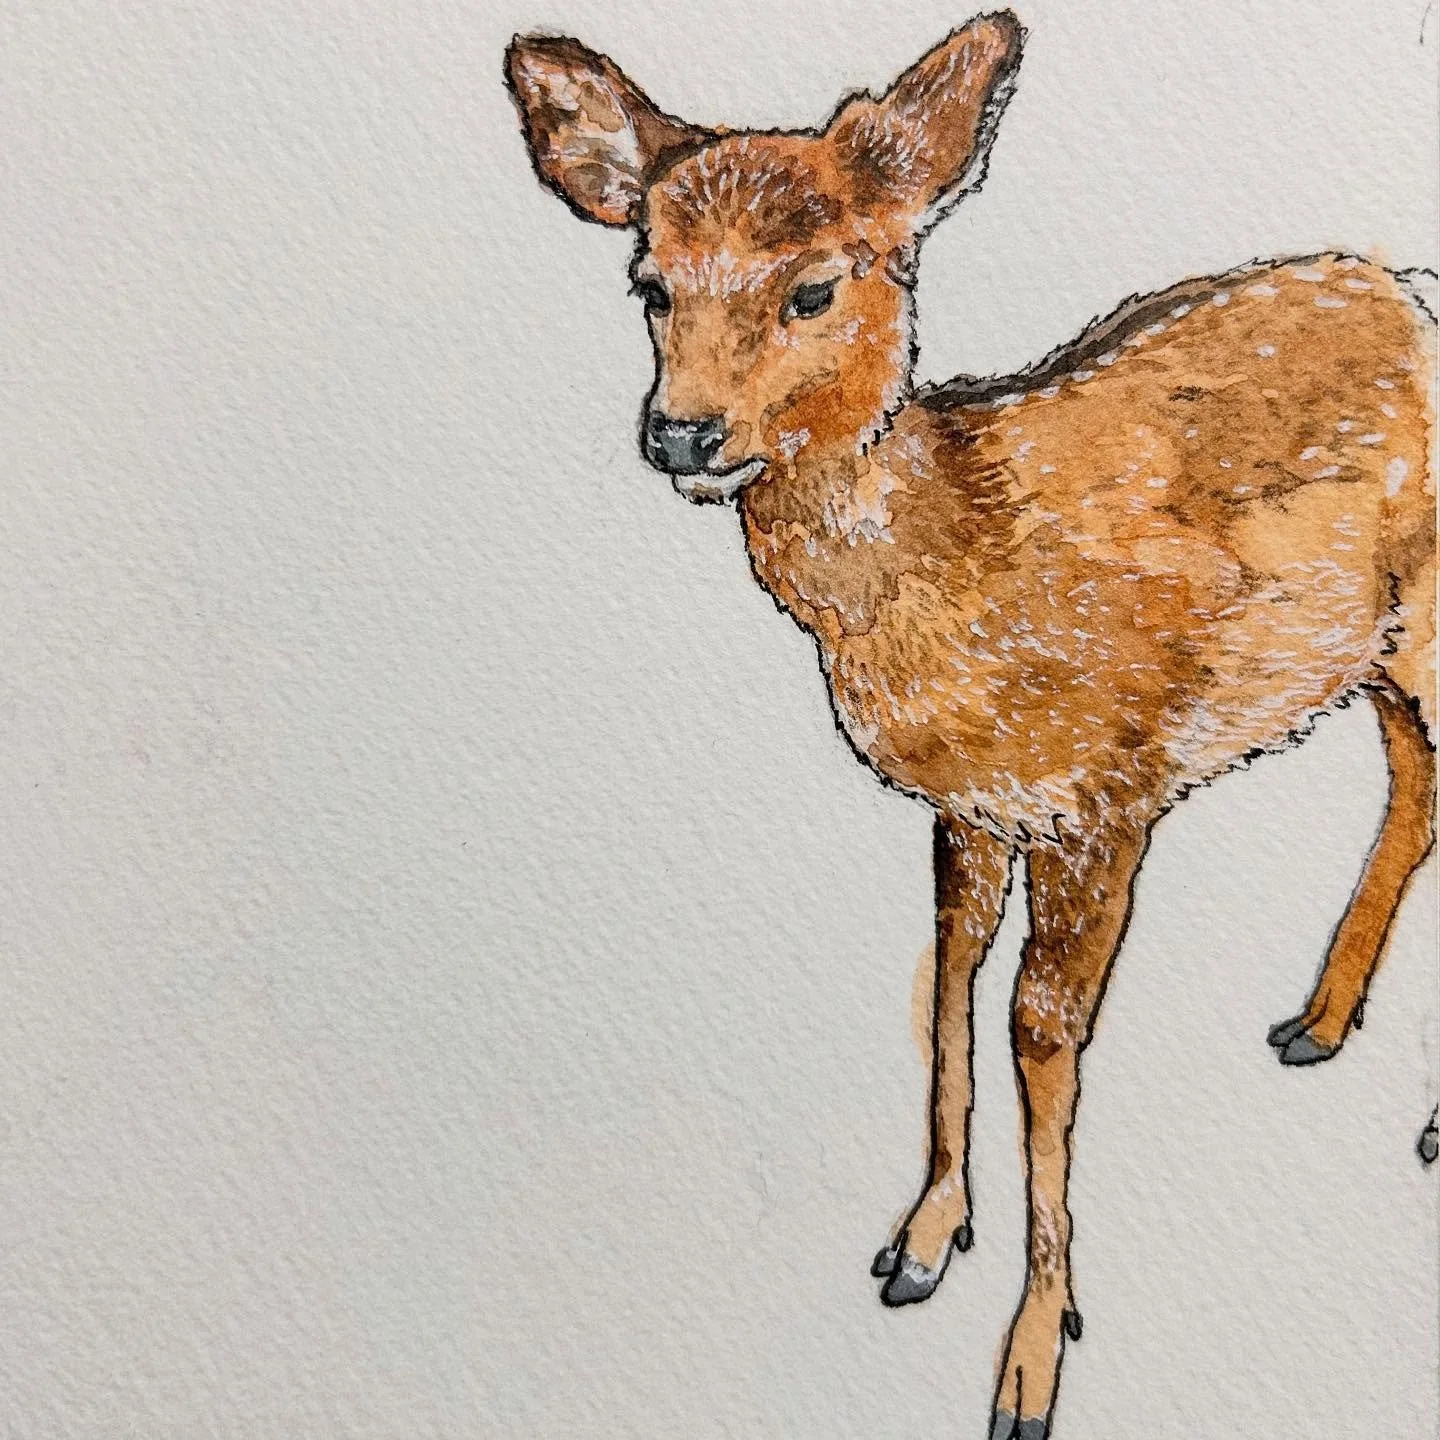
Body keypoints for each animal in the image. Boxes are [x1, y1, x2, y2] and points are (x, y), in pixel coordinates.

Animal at [505, 13, 1437, 1437]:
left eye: (815, 288)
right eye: (649, 285)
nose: (682, 434)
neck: (961, 559)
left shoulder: (1110, 793)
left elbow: (1041, 1035)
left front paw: (1031, 1364)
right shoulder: (971, 807)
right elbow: (944, 976)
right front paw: (921, 1241)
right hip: (1371, 663)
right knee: (1414, 781)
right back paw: (1317, 1024)